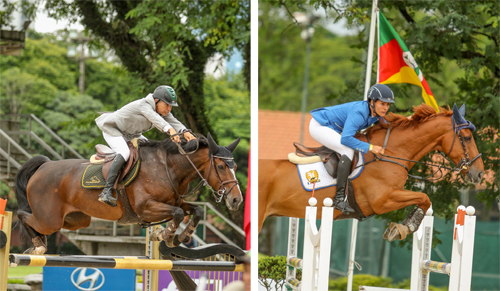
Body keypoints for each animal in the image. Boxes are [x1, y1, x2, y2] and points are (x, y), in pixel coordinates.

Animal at [260, 105, 482, 242]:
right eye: (467, 137)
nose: (479, 174)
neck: (391, 153)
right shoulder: (382, 200)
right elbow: (424, 197)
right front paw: (404, 227)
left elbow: (424, 199)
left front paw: (400, 227)